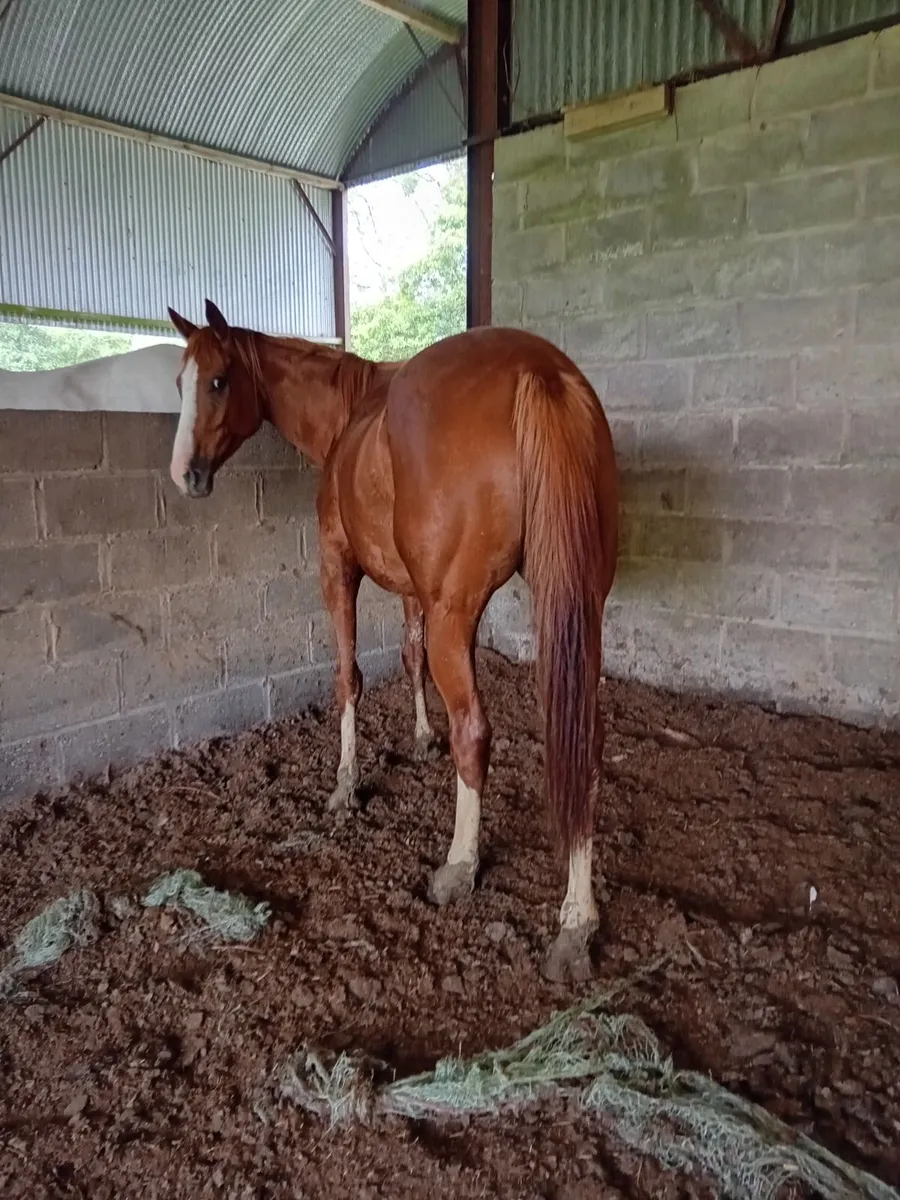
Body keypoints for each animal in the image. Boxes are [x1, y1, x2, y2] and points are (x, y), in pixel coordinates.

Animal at [166, 299, 619, 982]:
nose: (184, 476)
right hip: (577, 609)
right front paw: (421, 736)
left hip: (457, 615)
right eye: (180, 383)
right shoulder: (413, 589)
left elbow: (348, 676)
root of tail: (538, 372)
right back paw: (576, 921)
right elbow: (409, 657)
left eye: (217, 381)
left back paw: (459, 865)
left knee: (474, 733)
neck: (349, 412)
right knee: (581, 747)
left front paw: (345, 785)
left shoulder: (339, 567)